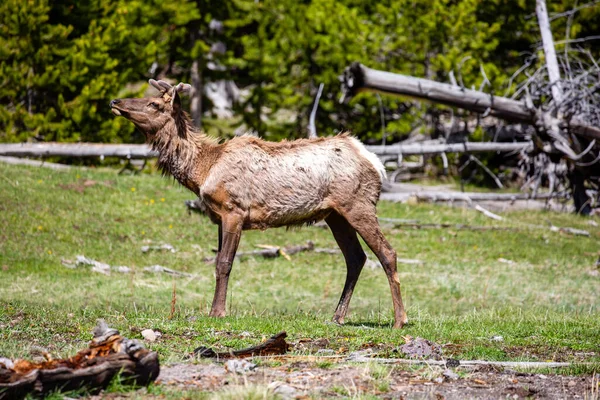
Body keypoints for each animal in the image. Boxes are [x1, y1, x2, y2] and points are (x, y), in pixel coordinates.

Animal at [109, 79, 408, 328]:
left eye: (155, 104)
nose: (115, 101)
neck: (203, 170)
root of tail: (375, 162)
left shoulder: (234, 210)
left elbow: (224, 263)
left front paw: (217, 312)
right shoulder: (219, 217)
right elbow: (217, 262)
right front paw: (215, 309)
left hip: (358, 205)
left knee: (387, 253)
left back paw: (399, 320)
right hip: (334, 215)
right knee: (356, 258)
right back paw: (337, 316)